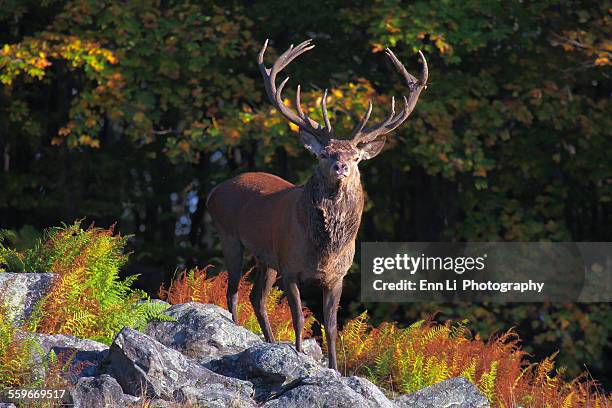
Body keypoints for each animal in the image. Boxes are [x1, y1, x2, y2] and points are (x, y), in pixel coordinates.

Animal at [206, 39, 426, 370]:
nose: (341, 167)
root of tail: (213, 191)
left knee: (257, 297)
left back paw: (270, 341)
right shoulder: (290, 268)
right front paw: (297, 356)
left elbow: (332, 327)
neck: (324, 250)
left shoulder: (337, 277)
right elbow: (298, 318)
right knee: (233, 291)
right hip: (230, 237)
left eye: (356, 157)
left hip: (265, 258)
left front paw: (333, 369)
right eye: (324, 154)